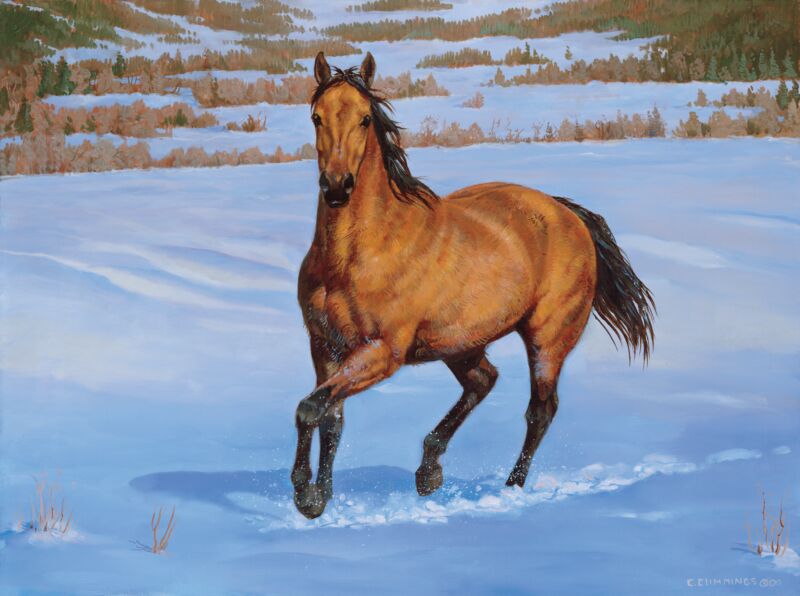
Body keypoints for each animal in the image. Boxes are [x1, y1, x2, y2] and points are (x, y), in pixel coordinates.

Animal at [291, 52, 655, 519]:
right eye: (316, 117)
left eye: (364, 119)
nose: (337, 186)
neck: (355, 255)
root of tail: (566, 212)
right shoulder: (325, 345)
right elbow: (328, 417)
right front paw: (319, 497)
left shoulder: (381, 352)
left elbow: (310, 409)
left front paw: (305, 494)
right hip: (459, 343)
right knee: (484, 379)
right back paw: (429, 472)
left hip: (547, 339)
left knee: (540, 410)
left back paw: (510, 488)